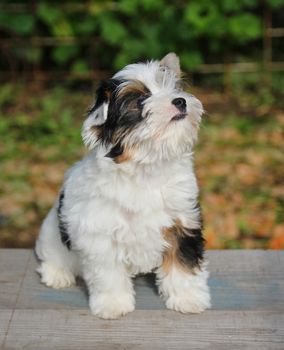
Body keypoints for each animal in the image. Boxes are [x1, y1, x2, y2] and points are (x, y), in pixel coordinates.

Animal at [35, 53, 211, 318]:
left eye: (173, 89)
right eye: (139, 101)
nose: (180, 101)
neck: (146, 168)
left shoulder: (182, 221)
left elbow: (183, 262)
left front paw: (188, 298)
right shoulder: (100, 233)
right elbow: (108, 273)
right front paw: (113, 304)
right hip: (52, 231)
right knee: (52, 252)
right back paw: (57, 273)